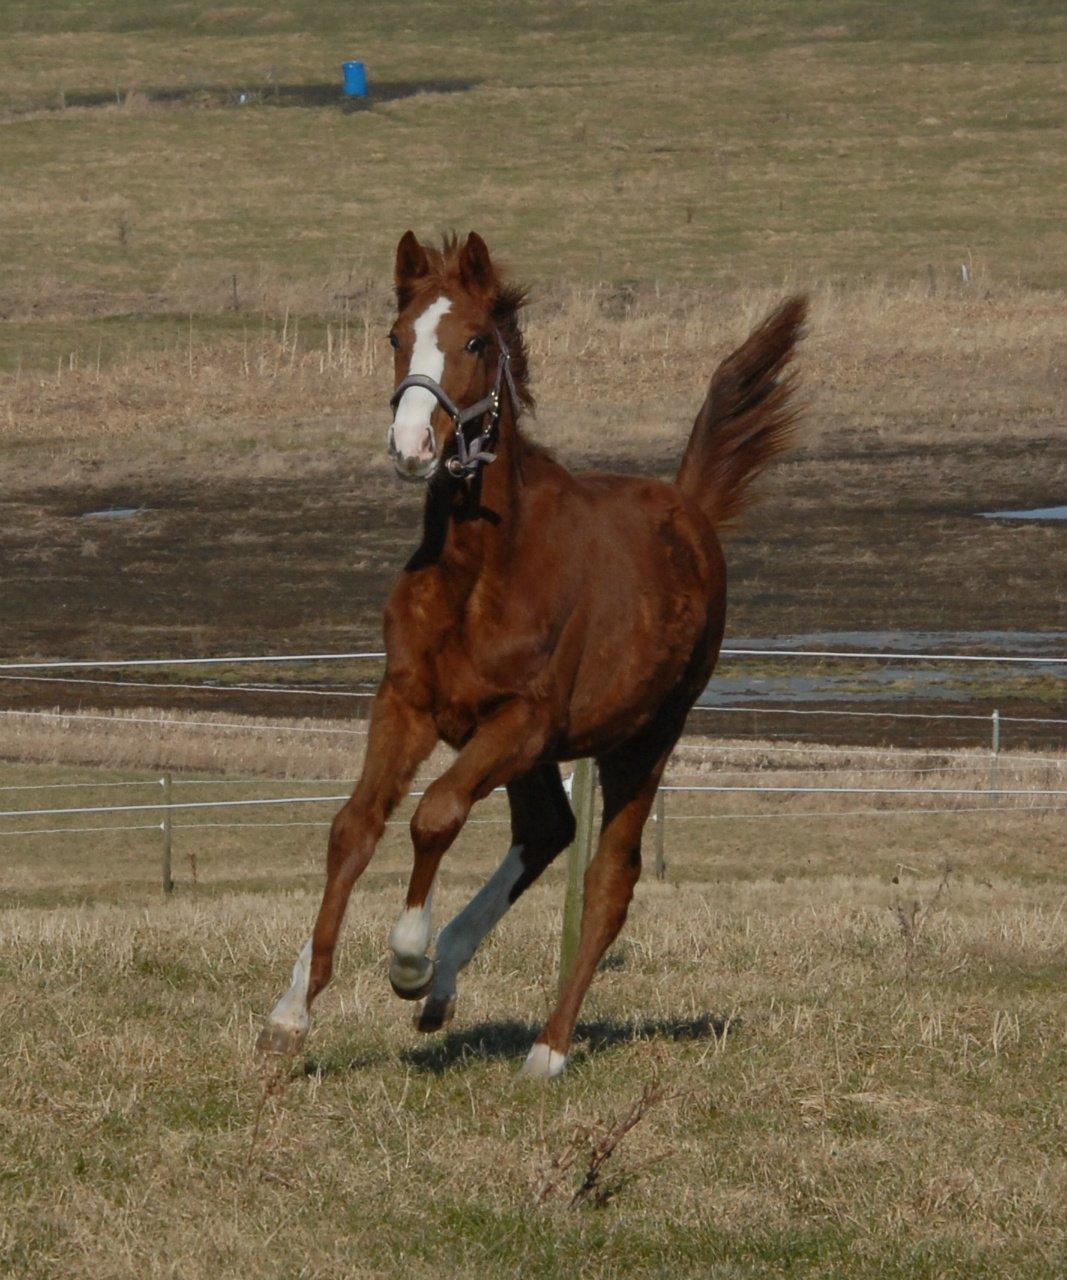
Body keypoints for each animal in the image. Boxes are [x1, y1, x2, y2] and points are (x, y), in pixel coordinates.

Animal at [258, 235, 803, 1075]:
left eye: (476, 342)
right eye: (395, 337)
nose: (413, 447)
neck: (480, 568)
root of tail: (691, 509)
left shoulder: (525, 720)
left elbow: (435, 815)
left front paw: (407, 960)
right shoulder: (408, 701)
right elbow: (354, 827)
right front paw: (292, 1013)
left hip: (643, 738)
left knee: (610, 880)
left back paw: (545, 1047)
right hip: (539, 751)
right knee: (548, 828)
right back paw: (449, 982)